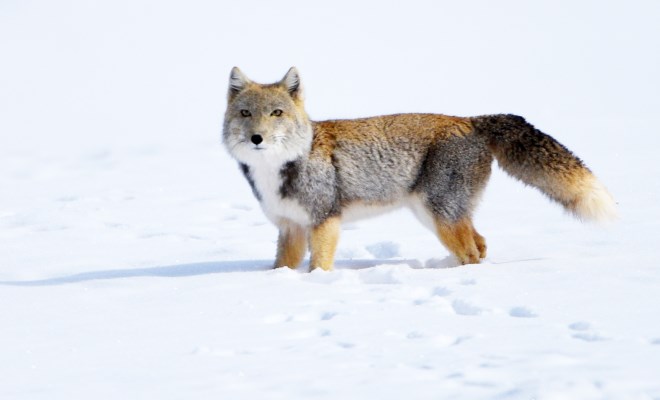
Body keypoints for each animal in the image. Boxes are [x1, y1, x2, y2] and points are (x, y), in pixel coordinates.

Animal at [223, 67, 620, 272]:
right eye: (246, 113)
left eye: (276, 113)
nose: (257, 138)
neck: (279, 168)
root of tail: (470, 119)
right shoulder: (289, 228)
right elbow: (282, 268)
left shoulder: (325, 221)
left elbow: (319, 266)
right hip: (440, 215)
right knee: (480, 245)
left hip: (439, 215)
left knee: (471, 253)